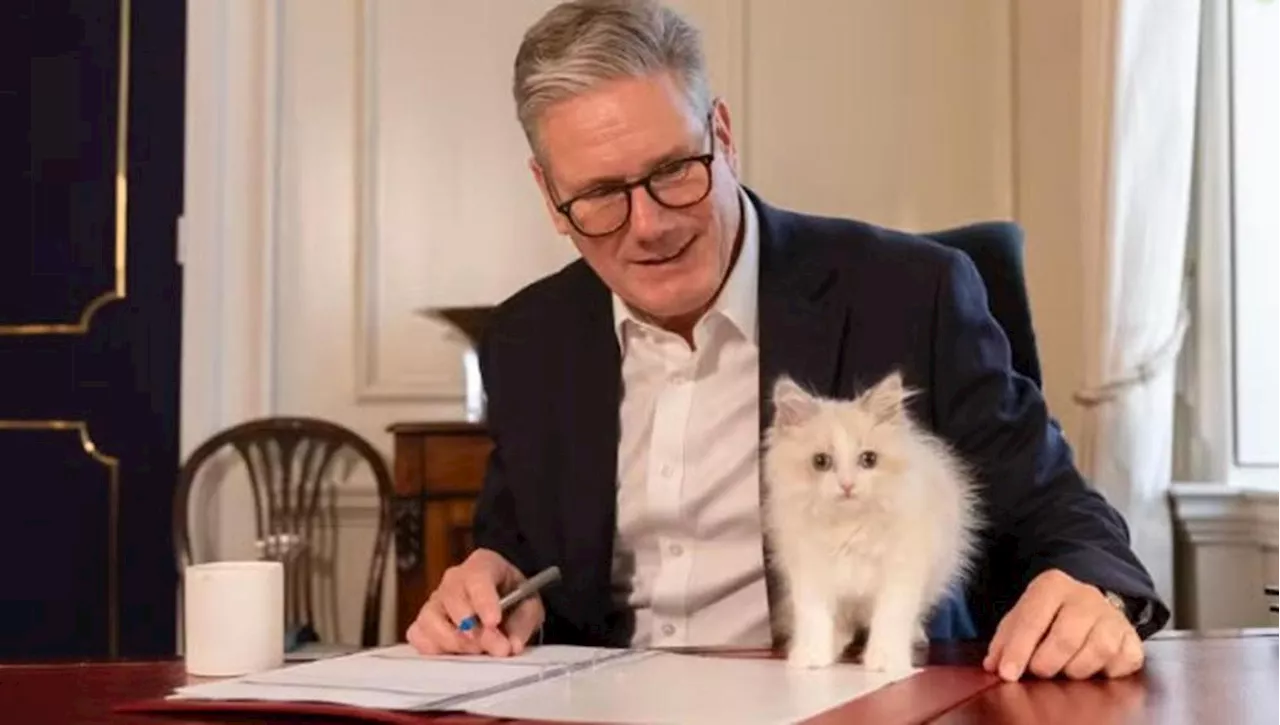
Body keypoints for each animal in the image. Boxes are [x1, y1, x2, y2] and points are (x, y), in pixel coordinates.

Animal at [757, 374, 977, 676]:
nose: (847, 485)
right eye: (821, 462)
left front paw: (885, 661)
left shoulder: (901, 570)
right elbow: (814, 617)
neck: (850, 527)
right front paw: (811, 656)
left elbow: (890, 617)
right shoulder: (809, 572)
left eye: (869, 459)